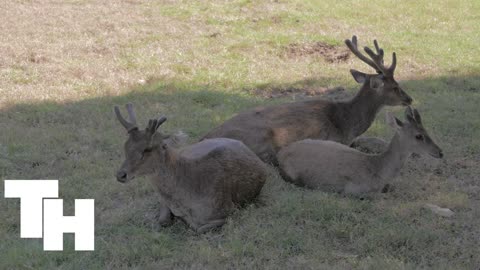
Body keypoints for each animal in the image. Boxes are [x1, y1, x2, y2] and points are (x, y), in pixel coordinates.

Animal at [114, 103, 268, 232]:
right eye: (125, 145)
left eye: (147, 149)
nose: (120, 175)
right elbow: (163, 220)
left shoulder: (228, 209)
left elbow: (197, 228)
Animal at [202, 35, 412, 165]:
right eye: (395, 86)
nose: (409, 99)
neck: (346, 122)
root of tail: (203, 138)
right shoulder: (333, 139)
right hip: (261, 137)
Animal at [276, 106, 444, 195]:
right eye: (418, 136)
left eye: (425, 130)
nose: (440, 152)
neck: (378, 172)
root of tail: (280, 154)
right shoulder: (353, 190)